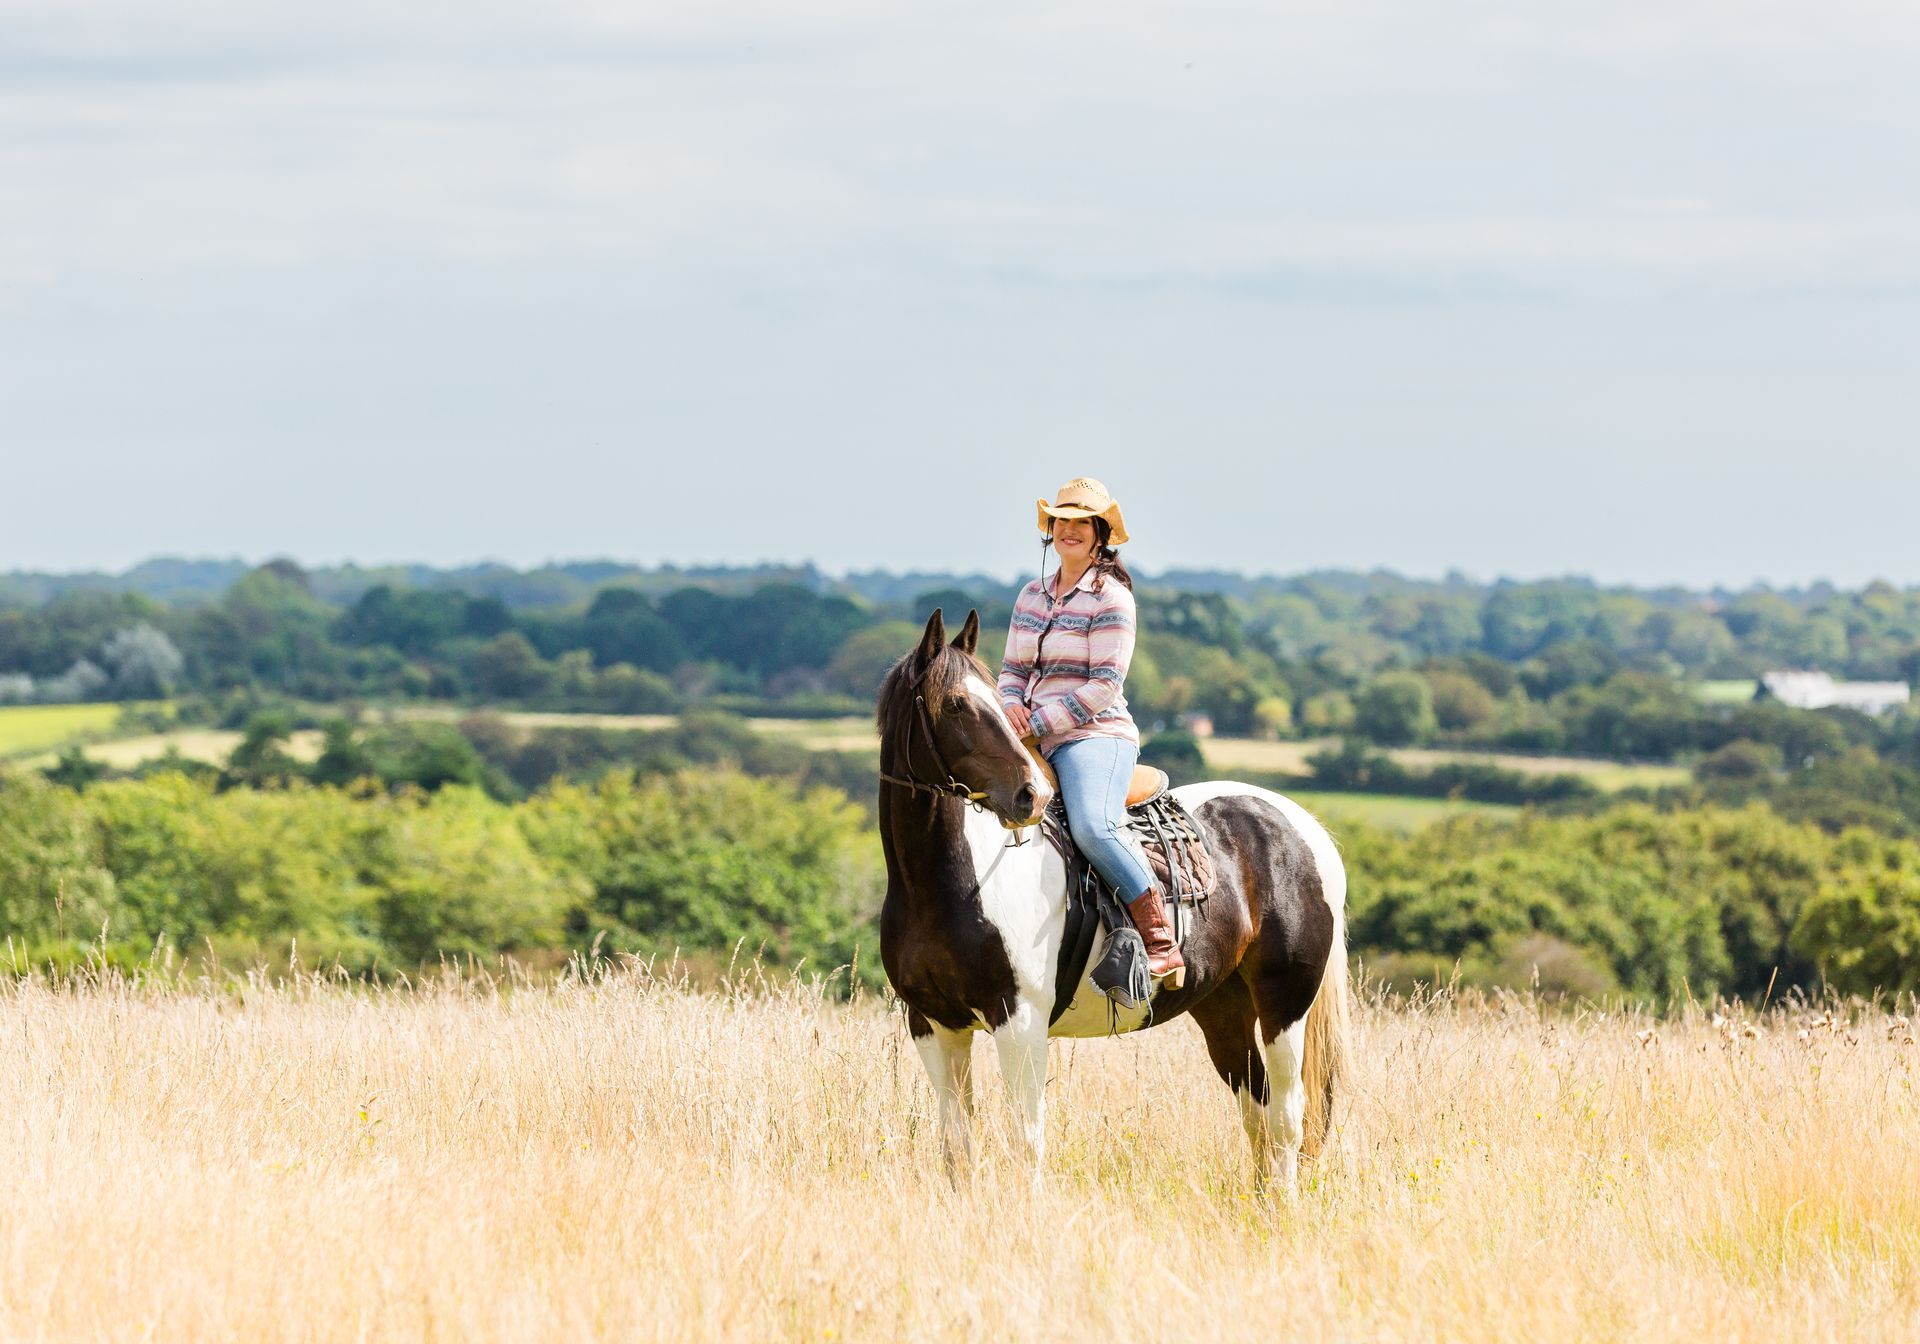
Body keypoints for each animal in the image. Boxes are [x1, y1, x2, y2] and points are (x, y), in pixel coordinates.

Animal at [877, 608, 1353, 1195]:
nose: (1030, 795)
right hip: (1224, 1006)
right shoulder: (932, 1025)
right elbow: (957, 1145)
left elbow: (1026, 1144)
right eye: (957, 704)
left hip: (1285, 1003)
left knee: (1287, 1118)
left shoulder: (1019, 1022)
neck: (944, 887)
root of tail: (1303, 826)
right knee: (1257, 1111)